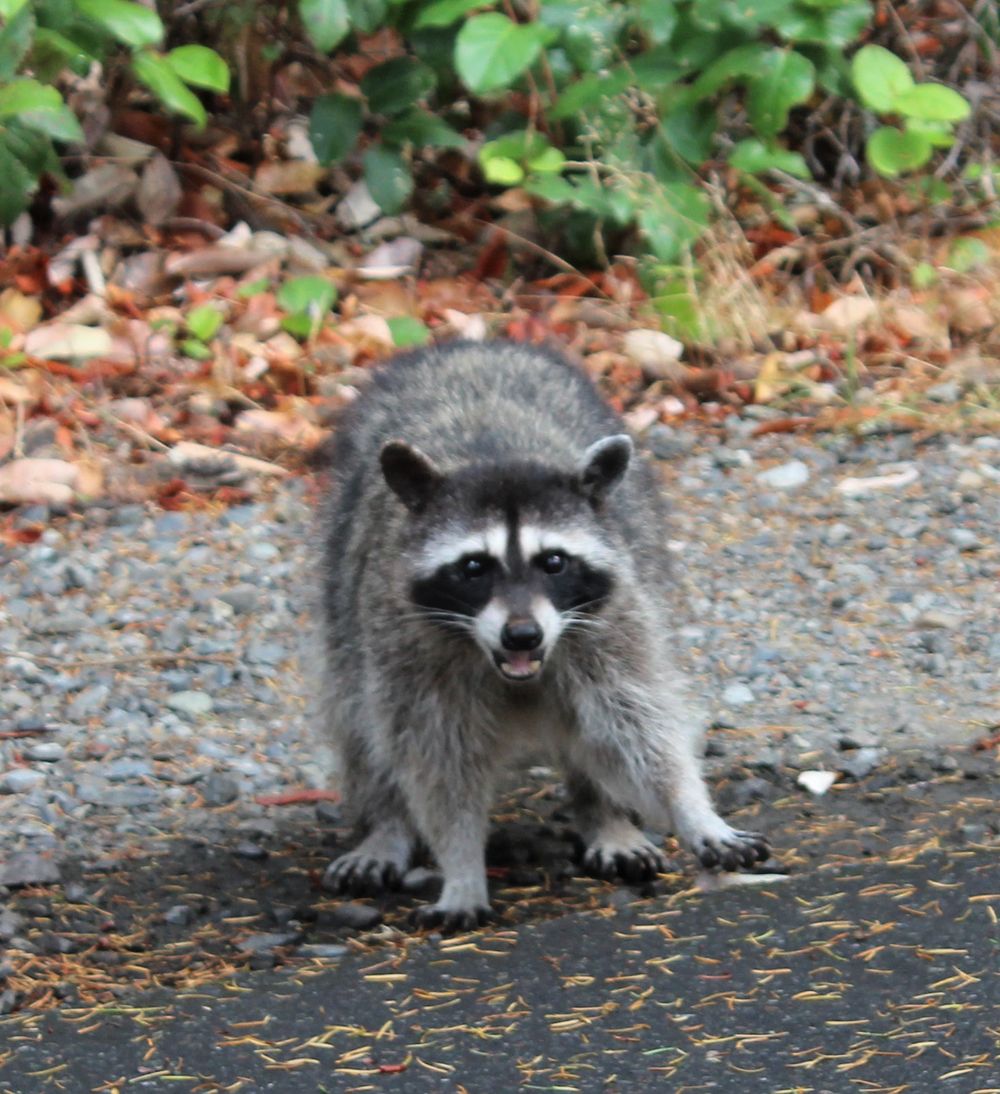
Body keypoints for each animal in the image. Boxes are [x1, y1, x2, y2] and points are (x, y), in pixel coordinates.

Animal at [316, 340, 769, 931]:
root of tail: (474, 344)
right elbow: (437, 762)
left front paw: (691, 809)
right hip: (342, 592)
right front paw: (460, 863)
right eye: (474, 567)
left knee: (599, 729)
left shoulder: (613, 622)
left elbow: (641, 726)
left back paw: (605, 817)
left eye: (553, 562)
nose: (523, 635)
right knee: (359, 719)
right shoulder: (406, 647)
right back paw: (386, 826)